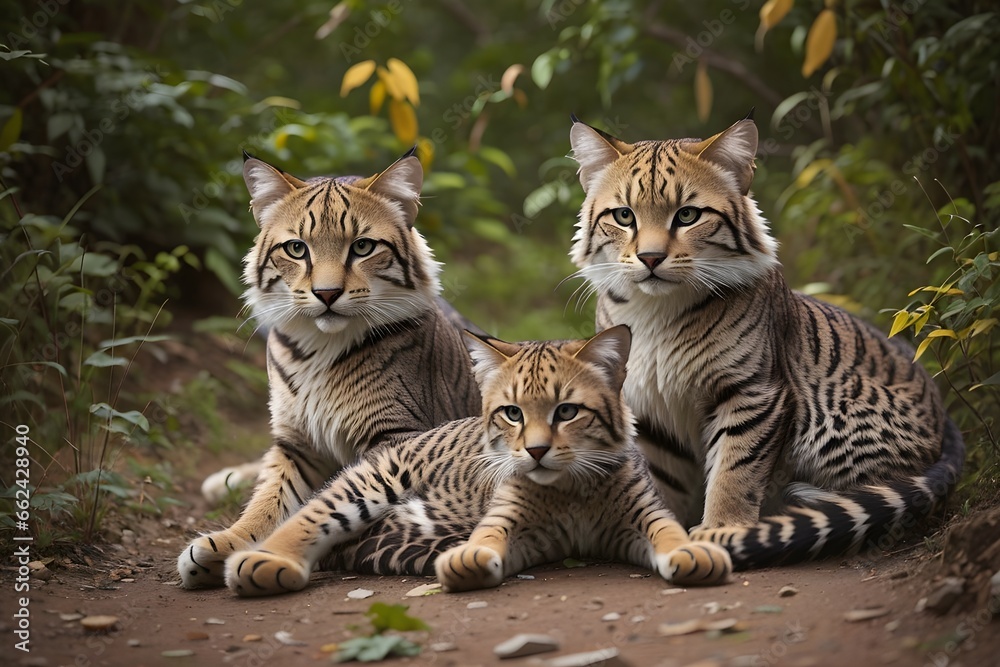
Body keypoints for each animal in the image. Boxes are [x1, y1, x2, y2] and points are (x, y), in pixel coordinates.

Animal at [178, 149, 481, 588]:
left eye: (363, 246)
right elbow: (268, 498)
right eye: (296, 249)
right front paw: (228, 541)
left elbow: (343, 497)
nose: (326, 294)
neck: (320, 347)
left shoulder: (397, 440)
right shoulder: (295, 444)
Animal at [221, 326, 732, 596]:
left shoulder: (638, 516)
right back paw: (262, 560)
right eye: (512, 413)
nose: (537, 450)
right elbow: (488, 535)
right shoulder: (509, 517)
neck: (569, 488)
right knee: (308, 513)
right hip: (372, 479)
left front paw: (692, 551)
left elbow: (668, 531)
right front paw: (468, 556)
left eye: (566, 412)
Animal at [567, 113, 964, 569]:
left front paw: (722, 531)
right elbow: (661, 479)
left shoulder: (753, 390)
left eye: (687, 215)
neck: (655, 310)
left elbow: (735, 468)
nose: (650, 258)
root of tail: (943, 412)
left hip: (833, 413)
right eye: (623, 216)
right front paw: (662, 530)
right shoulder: (649, 407)